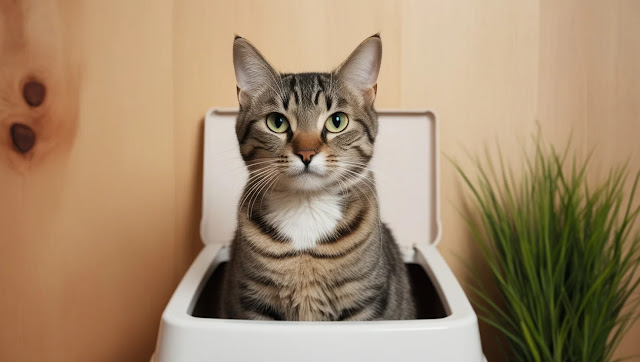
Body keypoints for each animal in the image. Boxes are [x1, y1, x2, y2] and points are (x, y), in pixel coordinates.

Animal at [220, 35, 416, 320]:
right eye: (276, 122)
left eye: (337, 121)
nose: (306, 153)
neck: (307, 205)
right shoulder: (256, 303)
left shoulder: (363, 301)